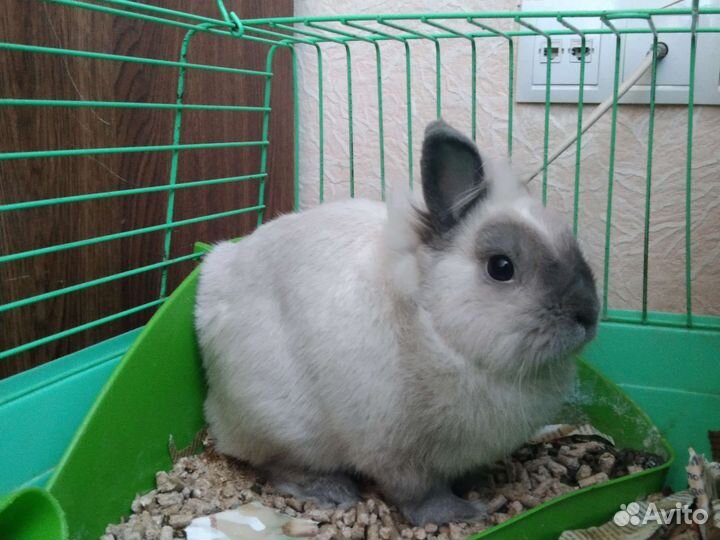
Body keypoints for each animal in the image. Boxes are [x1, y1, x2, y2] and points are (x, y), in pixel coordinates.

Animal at [194, 120, 599, 526]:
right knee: (277, 466)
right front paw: (462, 513)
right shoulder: (396, 451)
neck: (436, 331)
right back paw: (331, 490)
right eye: (501, 267)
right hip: (286, 427)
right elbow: (419, 494)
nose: (588, 314)